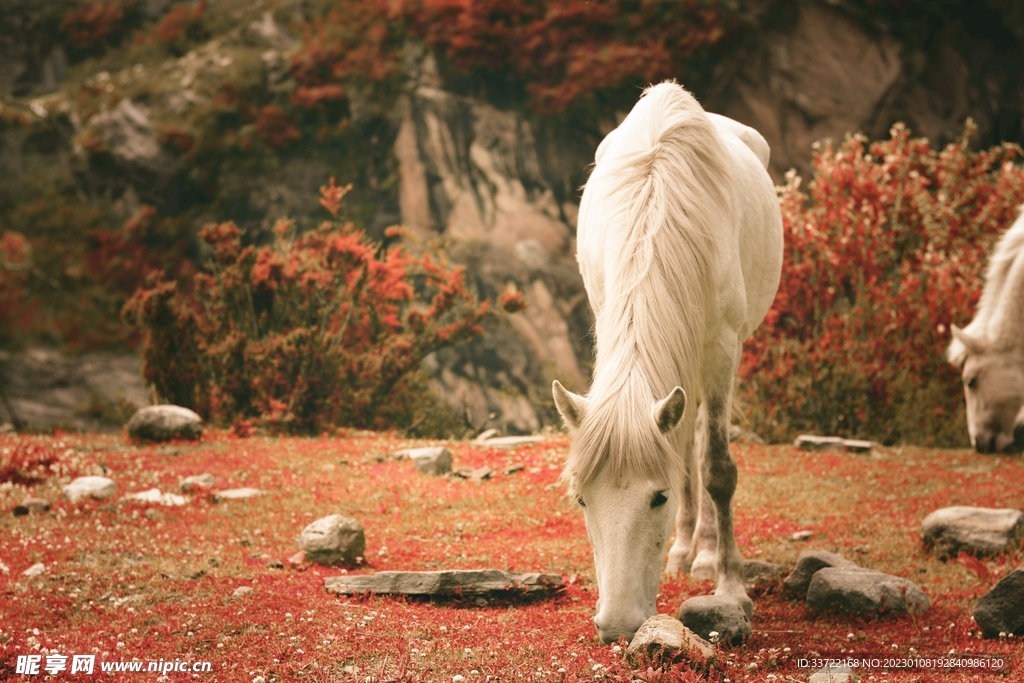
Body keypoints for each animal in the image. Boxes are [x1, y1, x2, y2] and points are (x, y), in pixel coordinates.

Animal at [552, 82, 783, 644]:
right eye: (583, 500)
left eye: (657, 498)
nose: (616, 625)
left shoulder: (722, 346)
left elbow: (717, 467)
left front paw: (730, 586)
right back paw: (683, 551)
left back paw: (704, 554)